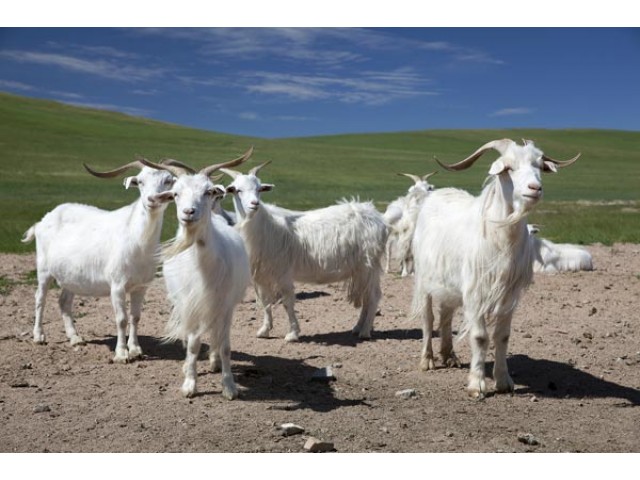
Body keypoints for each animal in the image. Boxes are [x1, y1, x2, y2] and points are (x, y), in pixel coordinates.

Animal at [21, 160, 175, 363]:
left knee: (64, 301)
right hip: (44, 269)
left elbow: (135, 317)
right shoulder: (117, 285)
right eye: (140, 181)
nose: (152, 199)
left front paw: (136, 350)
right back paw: (39, 336)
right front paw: (122, 354)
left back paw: (75, 338)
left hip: (71, 275)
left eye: (168, 181)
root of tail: (42, 221)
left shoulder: (141, 286)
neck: (137, 238)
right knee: (40, 298)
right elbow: (121, 319)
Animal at [139, 148, 252, 399]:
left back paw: (214, 361)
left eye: (208, 191)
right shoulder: (190, 304)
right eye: (175, 193)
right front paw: (190, 384)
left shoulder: (225, 305)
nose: (188, 212)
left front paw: (229, 386)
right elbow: (192, 344)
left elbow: (225, 346)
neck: (203, 266)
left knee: (216, 335)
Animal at [222, 163, 388, 342]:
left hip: (369, 264)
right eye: (237, 190)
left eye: (259, 188)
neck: (265, 226)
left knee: (373, 296)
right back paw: (358, 327)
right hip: (362, 269)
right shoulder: (262, 276)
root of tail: (376, 216)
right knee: (366, 296)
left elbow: (287, 302)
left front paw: (293, 333)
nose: (255, 203)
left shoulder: (283, 273)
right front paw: (264, 330)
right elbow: (265, 303)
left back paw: (365, 331)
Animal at [410, 139, 579, 398]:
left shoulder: (509, 294)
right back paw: (427, 360)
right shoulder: (475, 292)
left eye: (538, 165)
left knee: (446, 315)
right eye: (508, 167)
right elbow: (480, 337)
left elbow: (503, 336)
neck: (500, 235)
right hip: (423, 278)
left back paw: (449, 356)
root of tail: (438, 193)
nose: (535, 188)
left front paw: (503, 381)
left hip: (449, 285)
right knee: (428, 318)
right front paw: (477, 384)